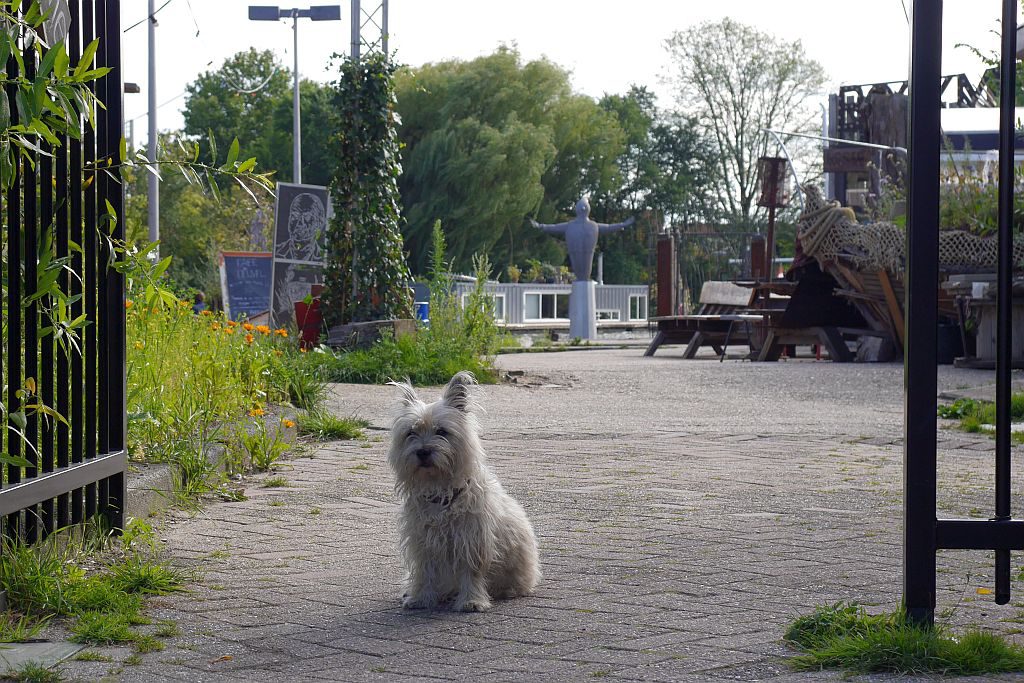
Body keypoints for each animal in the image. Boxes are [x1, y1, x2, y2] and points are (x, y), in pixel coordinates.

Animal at [385, 370, 544, 610]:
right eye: (411, 432)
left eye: (442, 431)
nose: (423, 452)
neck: (441, 492)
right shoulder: (424, 543)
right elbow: (425, 572)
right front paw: (420, 597)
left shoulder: (471, 540)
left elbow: (471, 573)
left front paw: (471, 600)